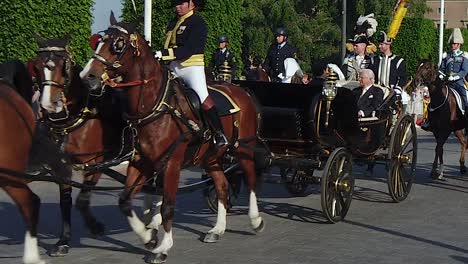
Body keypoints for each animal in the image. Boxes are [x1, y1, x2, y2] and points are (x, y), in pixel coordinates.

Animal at [33, 35, 125, 256]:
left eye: (63, 66)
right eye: (37, 67)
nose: (48, 105)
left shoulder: (96, 161)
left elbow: (82, 200)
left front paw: (95, 226)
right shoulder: (61, 166)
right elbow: (65, 202)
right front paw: (63, 240)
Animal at [80, 14, 264, 264]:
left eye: (118, 44)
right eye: (98, 41)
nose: (87, 76)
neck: (155, 106)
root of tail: (242, 90)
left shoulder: (172, 164)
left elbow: (167, 205)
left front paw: (162, 246)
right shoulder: (142, 162)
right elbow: (125, 200)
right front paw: (148, 235)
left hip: (243, 148)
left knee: (251, 179)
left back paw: (256, 220)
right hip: (210, 157)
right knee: (222, 186)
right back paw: (217, 230)